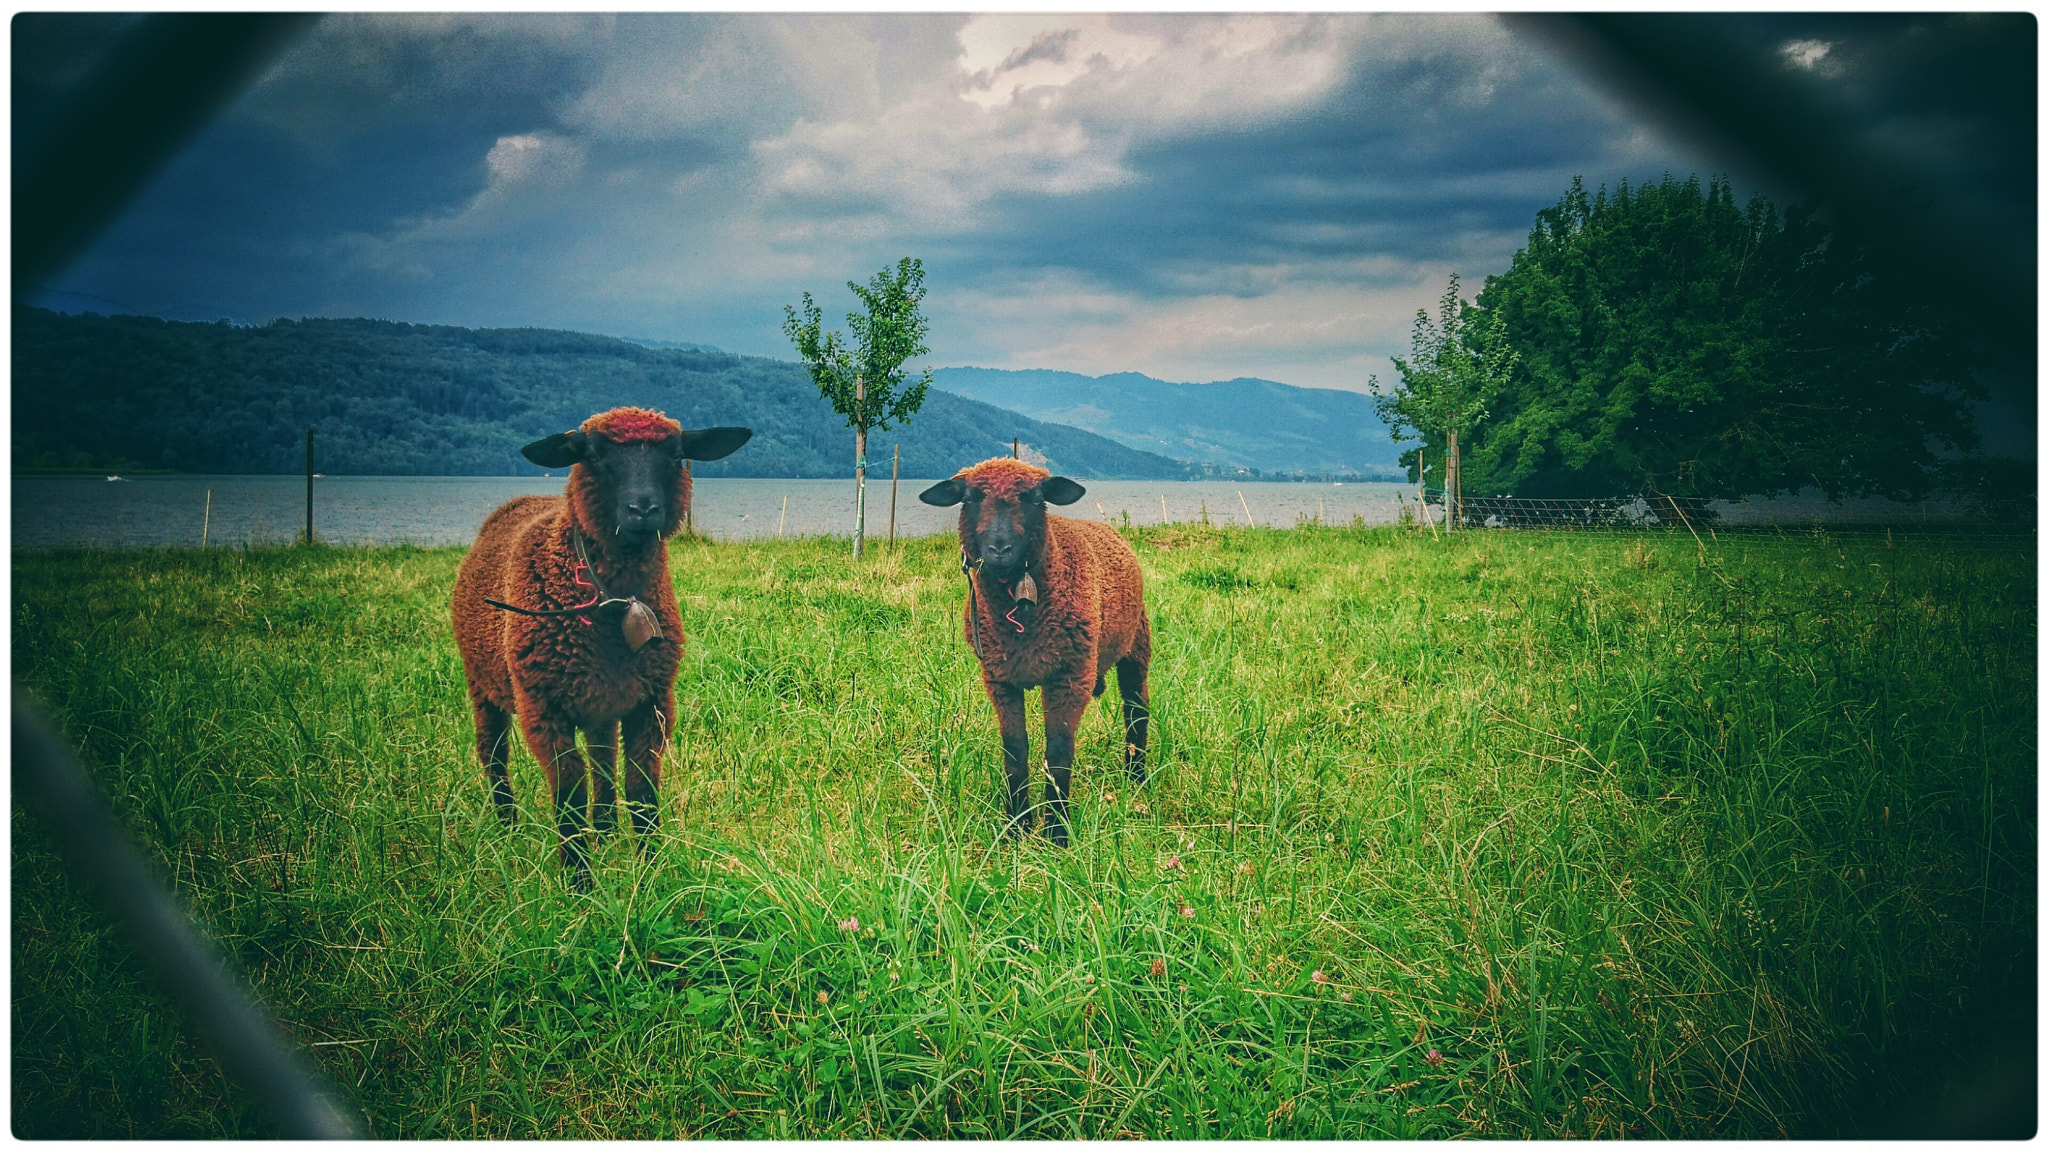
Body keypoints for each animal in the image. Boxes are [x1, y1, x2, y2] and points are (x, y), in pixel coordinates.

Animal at [451, 407, 751, 883]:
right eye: (592, 455)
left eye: (675, 454)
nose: (643, 509)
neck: (614, 599)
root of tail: (517, 502)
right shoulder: (543, 711)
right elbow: (569, 798)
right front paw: (579, 883)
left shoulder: (651, 702)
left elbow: (641, 789)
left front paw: (650, 871)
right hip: (483, 682)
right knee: (493, 753)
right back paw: (508, 826)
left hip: (601, 702)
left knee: (603, 761)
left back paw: (607, 831)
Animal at [919, 457, 1152, 845]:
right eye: (970, 498)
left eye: (1035, 498)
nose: (999, 549)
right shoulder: (999, 679)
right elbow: (1015, 750)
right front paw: (1016, 827)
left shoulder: (1069, 677)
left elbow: (1058, 752)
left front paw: (1057, 833)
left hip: (1136, 645)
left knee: (1136, 711)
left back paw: (1136, 779)